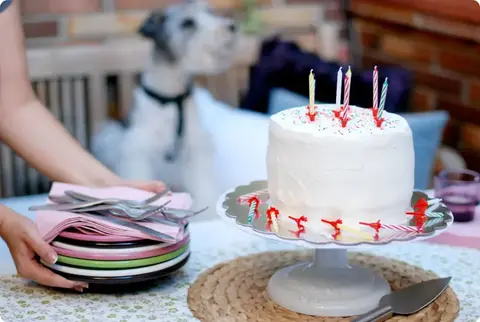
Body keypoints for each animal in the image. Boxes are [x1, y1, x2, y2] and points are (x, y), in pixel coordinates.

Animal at [91, 0, 236, 209]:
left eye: (209, 11)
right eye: (187, 23)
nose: (231, 27)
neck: (171, 98)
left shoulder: (196, 150)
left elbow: (204, 188)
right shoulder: (139, 150)